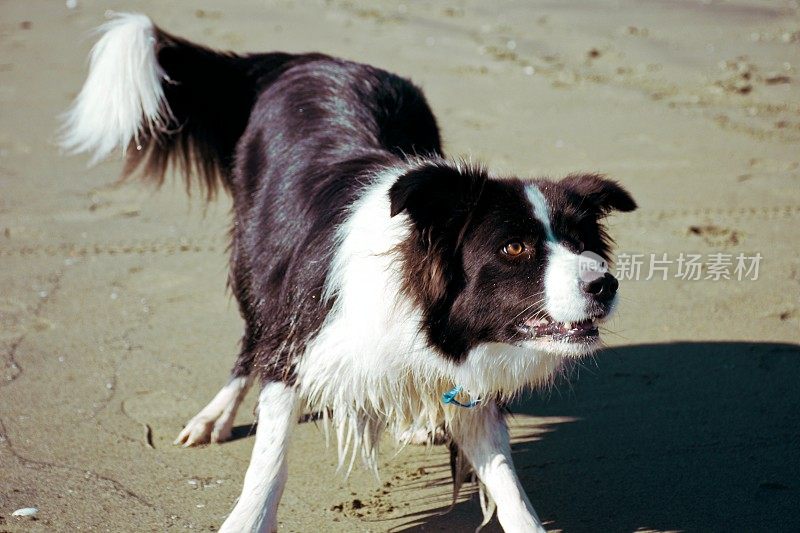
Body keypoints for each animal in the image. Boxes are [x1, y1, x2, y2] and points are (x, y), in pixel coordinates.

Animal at [62, 13, 636, 532]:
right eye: (514, 246)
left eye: (583, 243)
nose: (604, 284)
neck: (416, 308)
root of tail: (309, 60)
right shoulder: (299, 341)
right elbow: (269, 462)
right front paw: (246, 518)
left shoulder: (469, 385)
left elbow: (510, 490)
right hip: (256, 258)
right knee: (251, 337)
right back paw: (215, 415)